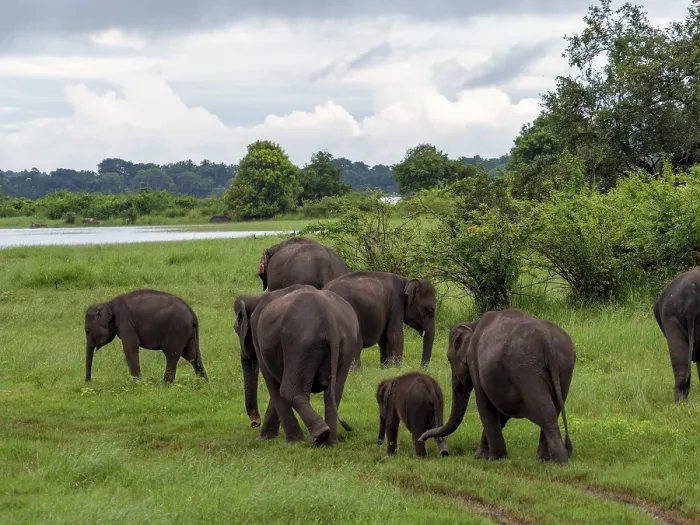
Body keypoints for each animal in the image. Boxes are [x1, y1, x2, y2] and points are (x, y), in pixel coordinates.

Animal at [235, 286, 362, 445]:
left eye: (236, 329)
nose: (254, 423)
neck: (256, 298)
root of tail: (329, 318)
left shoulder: (260, 339)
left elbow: (273, 382)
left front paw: (292, 441)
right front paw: (266, 438)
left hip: (299, 344)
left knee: (289, 390)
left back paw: (320, 434)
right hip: (347, 342)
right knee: (334, 392)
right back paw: (330, 442)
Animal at [419, 308, 575, 465]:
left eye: (449, 359)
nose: (421, 439)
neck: (473, 324)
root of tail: (548, 342)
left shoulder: (475, 362)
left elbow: (484, 403)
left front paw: (492, 459)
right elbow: (502, 410)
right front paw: (483, 456)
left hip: (527, 372)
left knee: (545, 413)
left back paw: (558, 463)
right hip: (564, 369)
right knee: (555, 409)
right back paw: (543, 461)